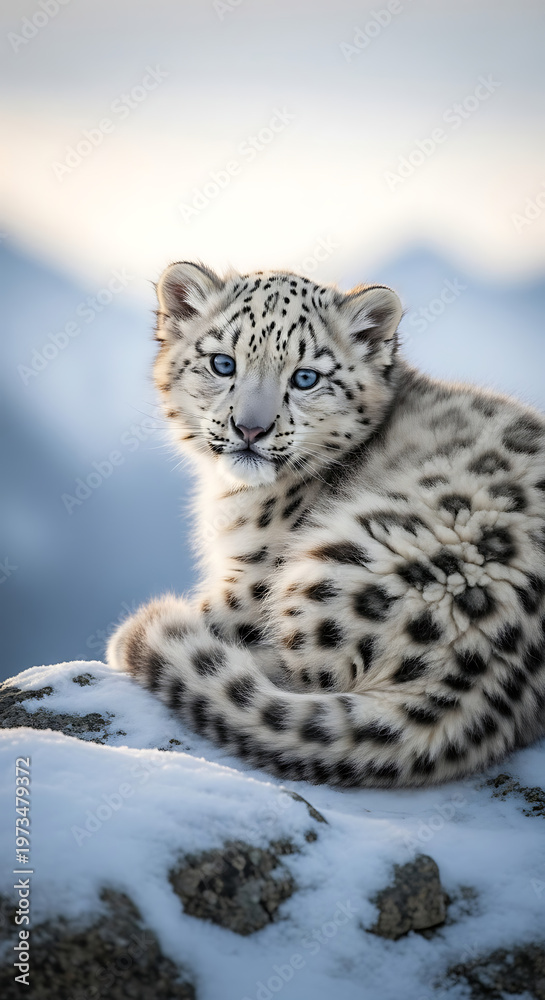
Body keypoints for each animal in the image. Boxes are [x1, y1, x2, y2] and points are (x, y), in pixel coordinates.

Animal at [107, 261, 545, 787]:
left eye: (305, 377)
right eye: (223, 364)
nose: (250, 429)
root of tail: (480, 680)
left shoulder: (248, 583)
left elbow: (220, 616)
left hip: (343, 561)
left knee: (305, 672)